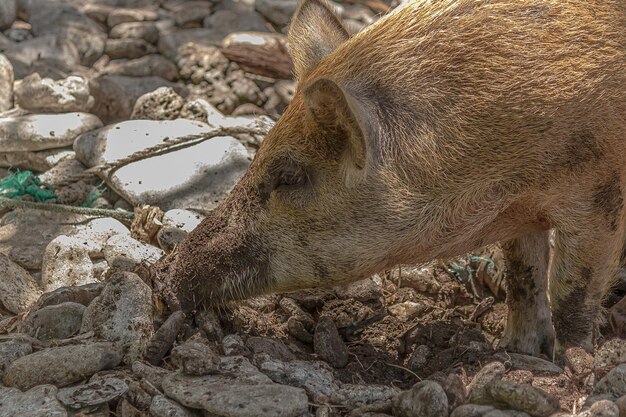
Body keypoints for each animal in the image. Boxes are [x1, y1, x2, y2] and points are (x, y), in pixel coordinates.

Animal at [152, 0, 624, 360]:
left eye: (288, 176)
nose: (164, 276)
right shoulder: (522, 211)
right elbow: (523, 277)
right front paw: (516, 351)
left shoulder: (599, 190)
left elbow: (570, 294)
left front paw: (569, 364)